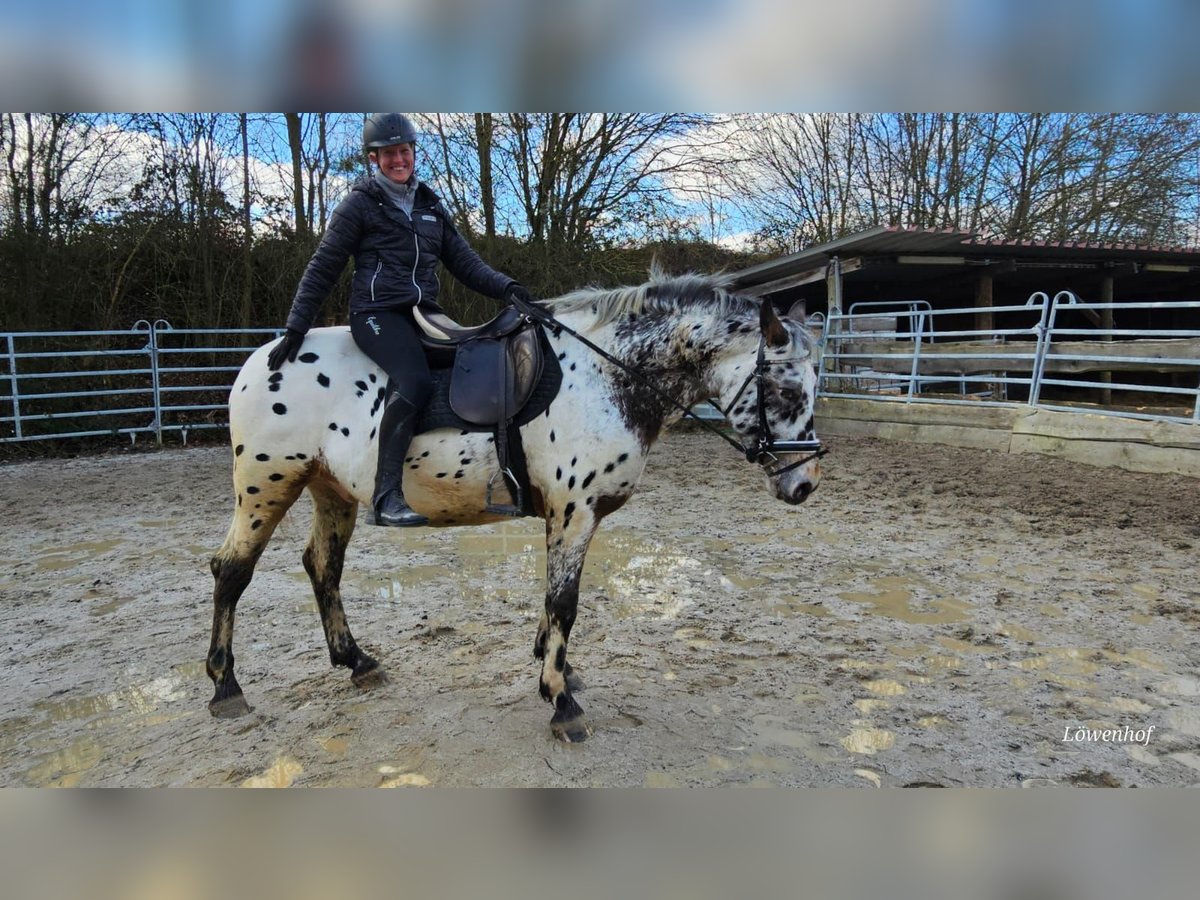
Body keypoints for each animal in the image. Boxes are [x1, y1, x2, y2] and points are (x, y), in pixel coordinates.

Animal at [206, 271, 825, 744]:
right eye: (787, 391)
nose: (805, 484)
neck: (607, 376)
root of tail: (264, 358)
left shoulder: (563, 514)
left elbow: (552, 601)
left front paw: (558, 670)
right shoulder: (576, 510)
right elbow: (565, 602)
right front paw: (560, 701)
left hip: (330, 491)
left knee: (322, 567)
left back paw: (357, 662)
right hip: (267, 483)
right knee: (233, 570)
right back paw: (226, 687)